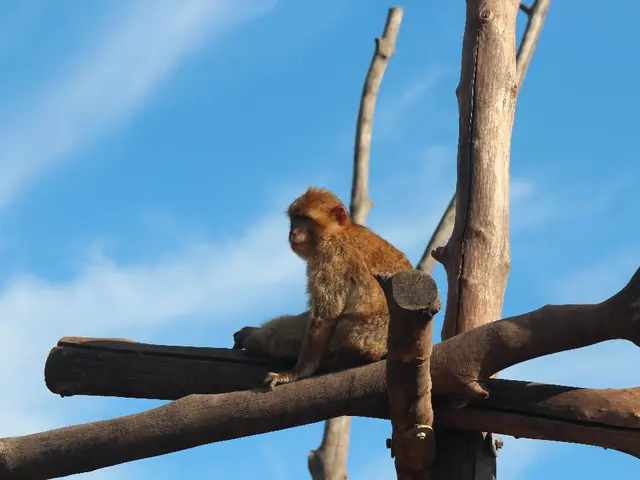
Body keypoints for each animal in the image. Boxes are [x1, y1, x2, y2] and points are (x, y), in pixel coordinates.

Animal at [232, 187, 412, 390]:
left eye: (305, 219)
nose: (292, 232)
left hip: (352, 339)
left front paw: (295, 373)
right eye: (294, 218)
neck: (339, 231)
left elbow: (325, 315)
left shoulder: (330, 254)